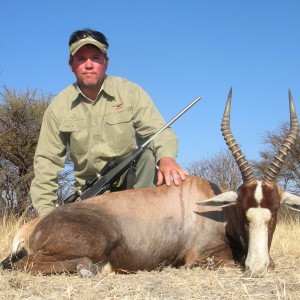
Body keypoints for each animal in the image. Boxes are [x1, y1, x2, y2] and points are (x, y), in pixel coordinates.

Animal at [1, 89, 298, 276]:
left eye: (275, 212)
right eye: (243, 209)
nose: (259, 267)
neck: (213, 211)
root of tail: (33, 227)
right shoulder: (200, 256)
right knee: (25, 266)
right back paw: (87, 268)